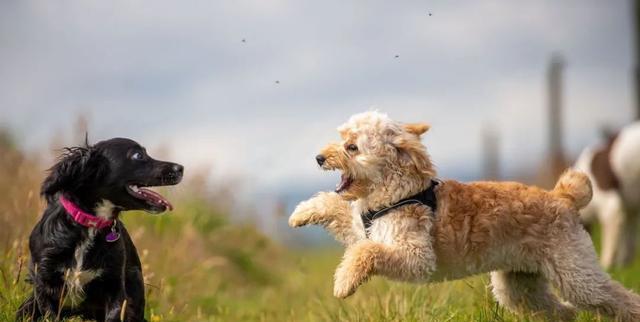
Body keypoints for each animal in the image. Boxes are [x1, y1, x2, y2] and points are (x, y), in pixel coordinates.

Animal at [15, 138, 184, 322]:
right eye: (138, 155)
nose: (181, 168)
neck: (91, 224)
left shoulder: (115, 287)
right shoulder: (45, 283)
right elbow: (50, 313)